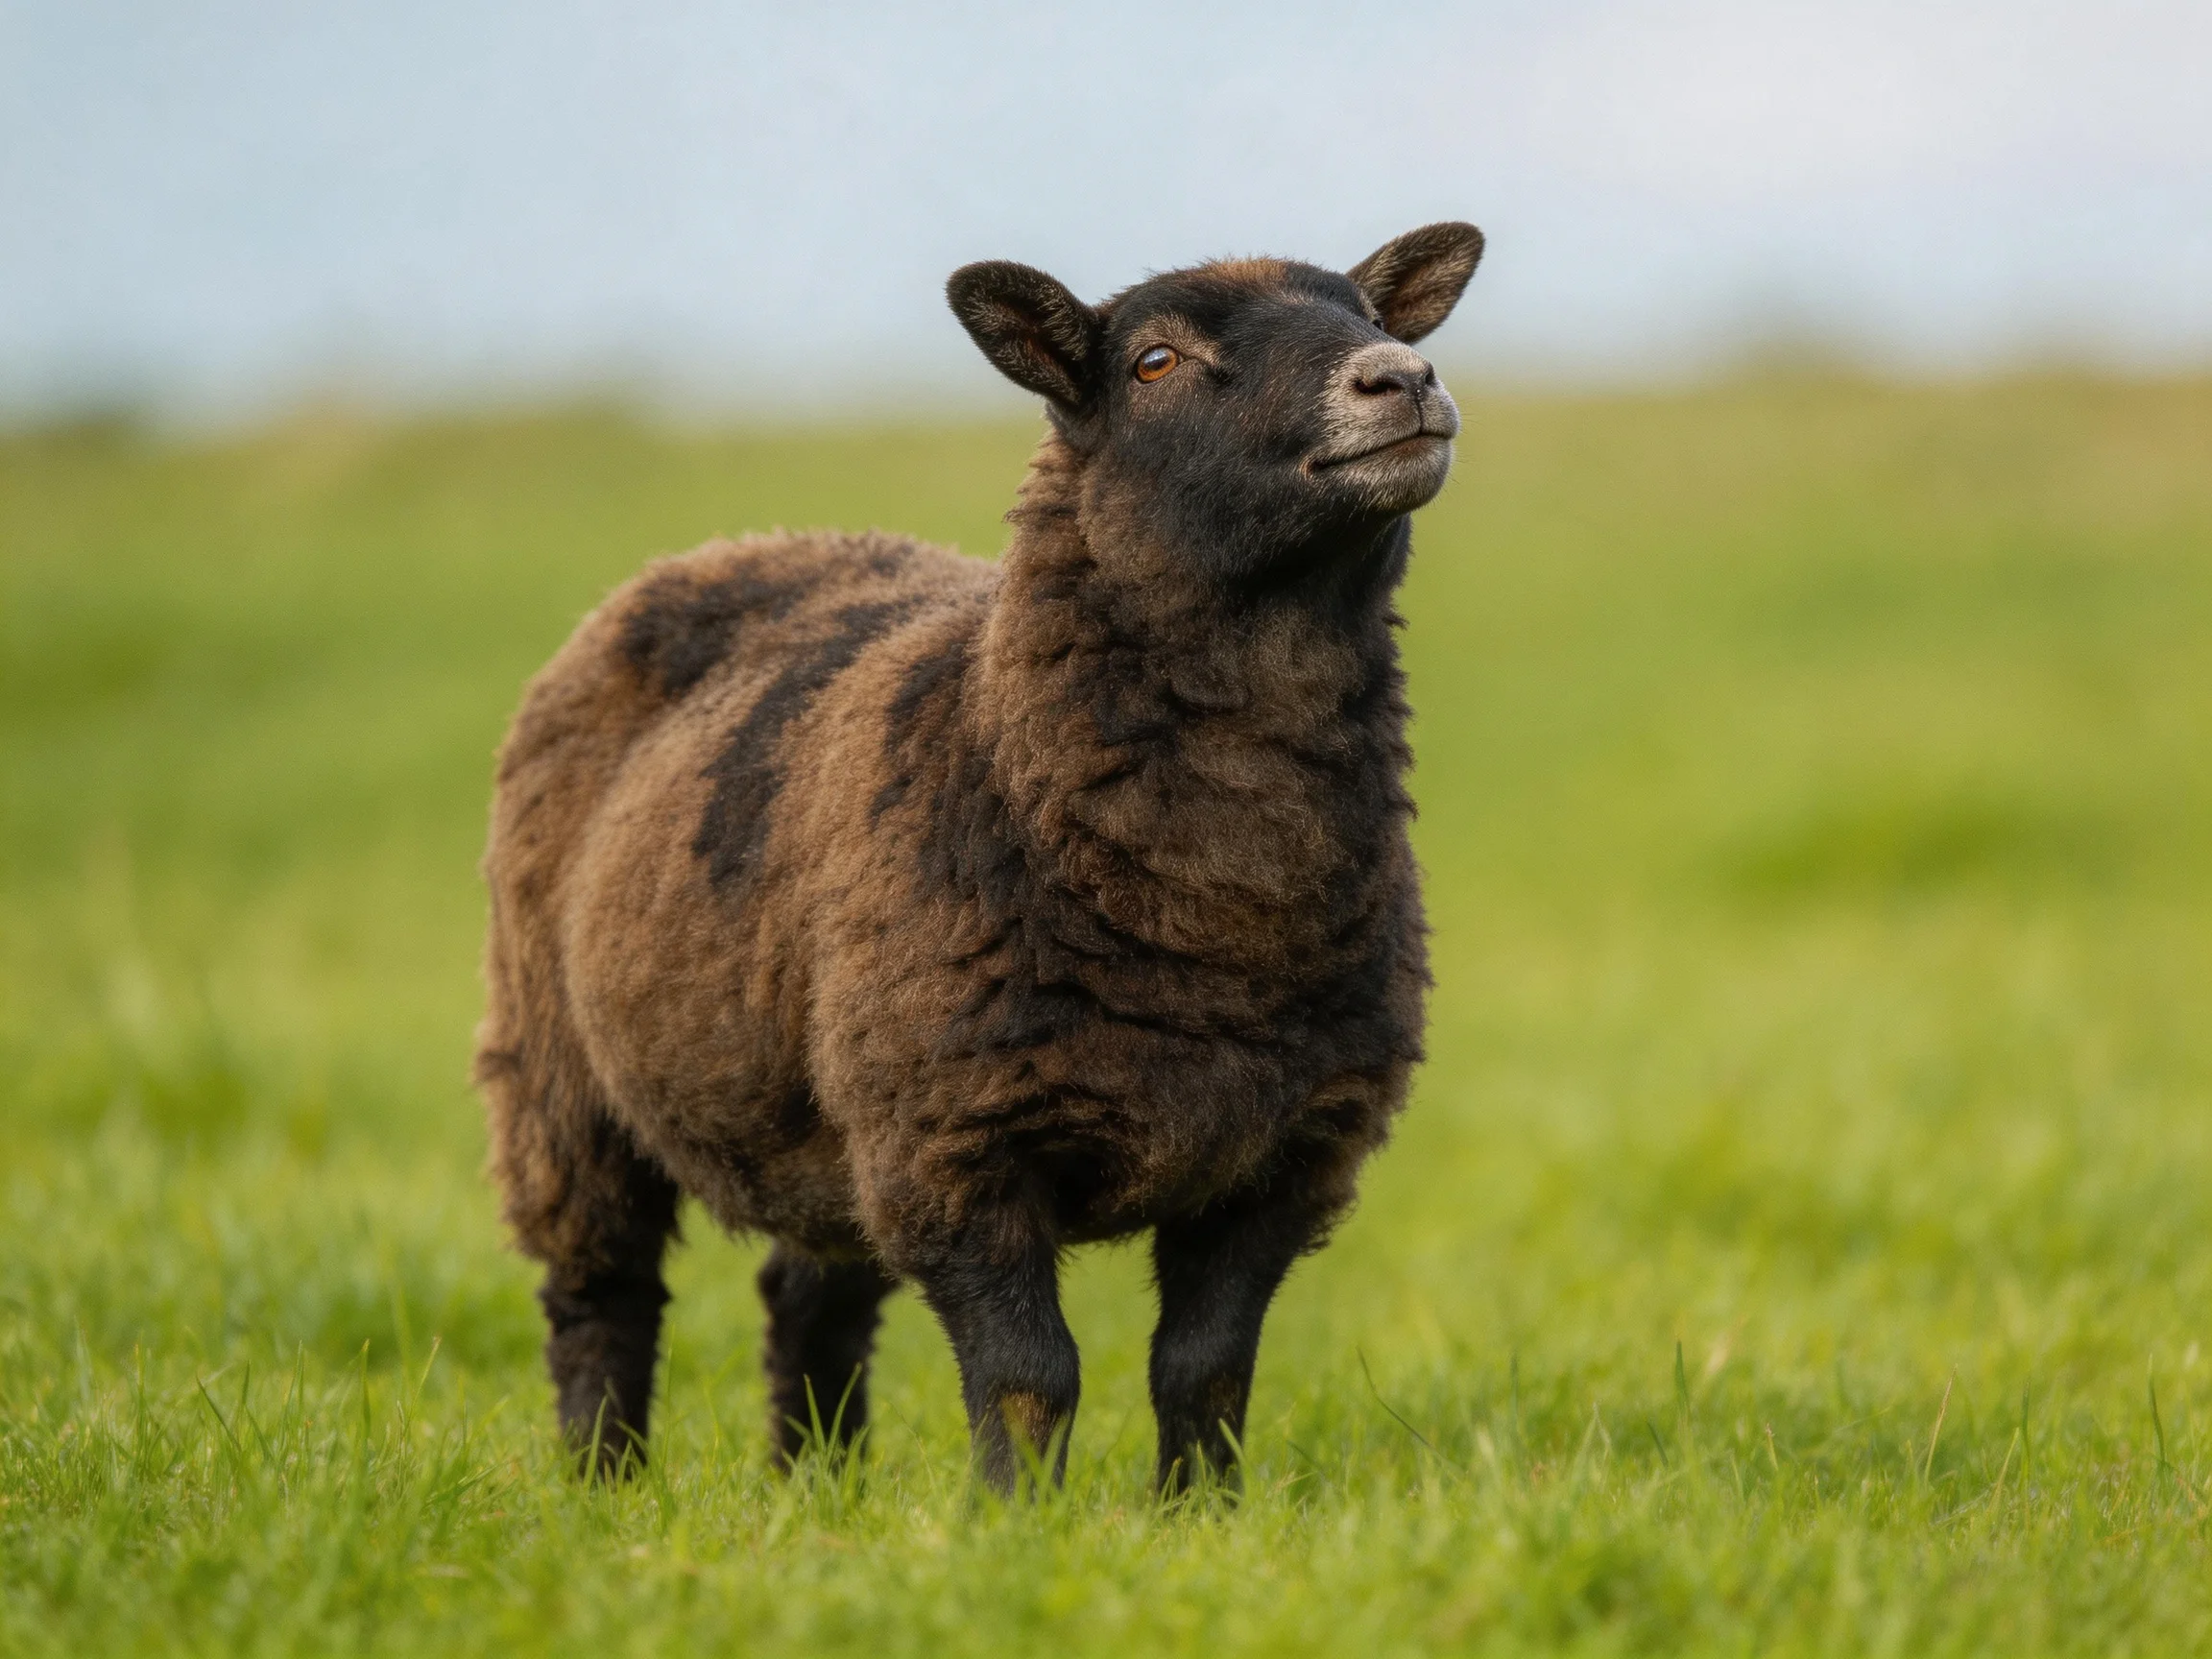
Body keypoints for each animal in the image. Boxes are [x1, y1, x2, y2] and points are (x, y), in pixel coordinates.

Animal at [474, 222, 1485, 1493]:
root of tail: (732, 544)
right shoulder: (957, 1146)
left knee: (811, 1295)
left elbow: (1204, 1371)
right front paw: (1020, 1522)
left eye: (1368, 312)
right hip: (560, 1071)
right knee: (600, 1296)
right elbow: (1027, 1377)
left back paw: (821, 1488)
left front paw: (1200, 1514)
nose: (1402, 377)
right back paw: (603, 1483)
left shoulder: (1282, 1156)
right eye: (1154, 361)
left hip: (829, 1107)